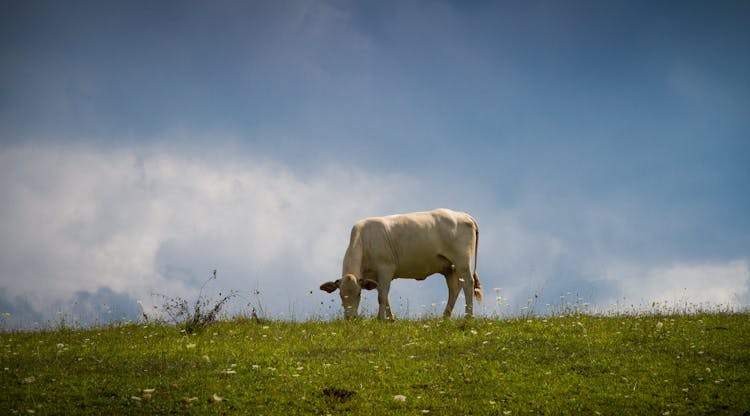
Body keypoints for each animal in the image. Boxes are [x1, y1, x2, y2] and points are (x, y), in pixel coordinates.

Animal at [320, 208, 484, 318]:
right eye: (340, 294)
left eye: (359, 293)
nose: (350, 318)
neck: (364, 241)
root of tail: (463, 215)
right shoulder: (374, 276)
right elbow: (384, 296)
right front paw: (390, 319)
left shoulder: (386, 268)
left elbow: (382, 296)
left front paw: (380, 319)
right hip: (449, 267)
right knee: (454, 288)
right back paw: (445, 317)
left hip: (462, 261)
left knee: (468, 284)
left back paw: (468, 316)